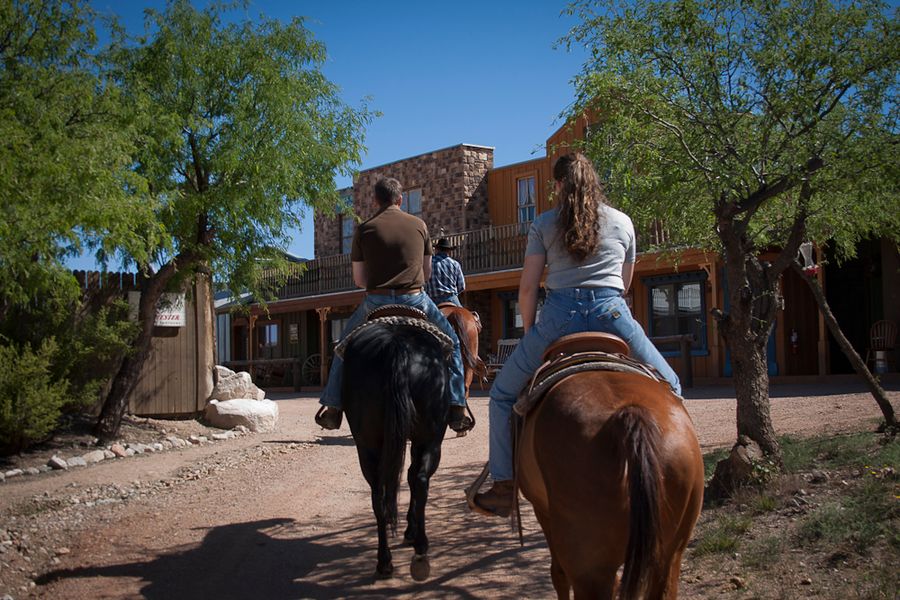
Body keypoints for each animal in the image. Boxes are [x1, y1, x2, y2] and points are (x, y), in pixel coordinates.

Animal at [340, 316, 450, 580]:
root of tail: (395, 344)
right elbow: (413, 477)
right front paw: (411, 530)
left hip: (367, 445)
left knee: (379, 494)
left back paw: (384, 561)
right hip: (431, 438)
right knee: (420, 480)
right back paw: (420, 546)